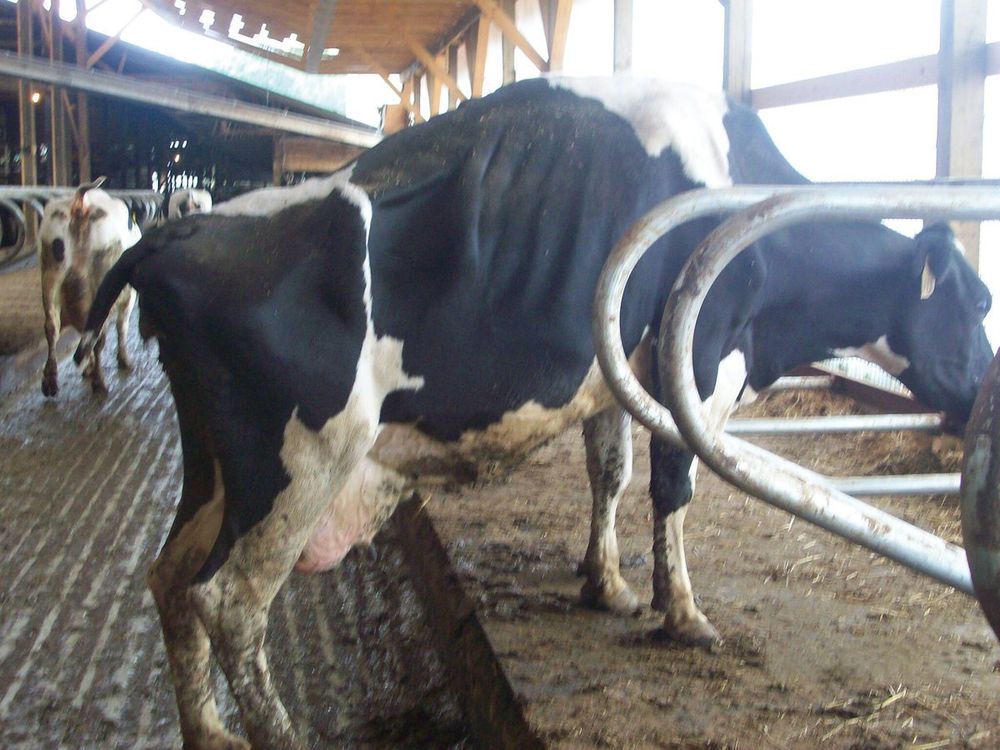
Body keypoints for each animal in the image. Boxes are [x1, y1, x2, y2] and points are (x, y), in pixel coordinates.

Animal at [38, 177, 141, 397]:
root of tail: (80, 204)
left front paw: (88, 369)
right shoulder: (129, 297)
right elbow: (122, 326)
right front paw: (124, 361)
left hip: (50, 273)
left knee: (52, 327)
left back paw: (50, 382)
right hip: (100, 280)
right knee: (98, 334)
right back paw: (100, 383)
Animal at [77, 76, 992, 749]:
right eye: (980, 301)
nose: (986, 383)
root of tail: (174, 235)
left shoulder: (614, 374)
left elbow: (610, 471)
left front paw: (606, 582)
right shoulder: (695, 363)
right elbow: (672, 489)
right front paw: (683, 613)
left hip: (217, 465)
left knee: (170, 578)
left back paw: (209, 732)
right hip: (301, 464)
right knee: (229, 603)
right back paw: (276, 735)